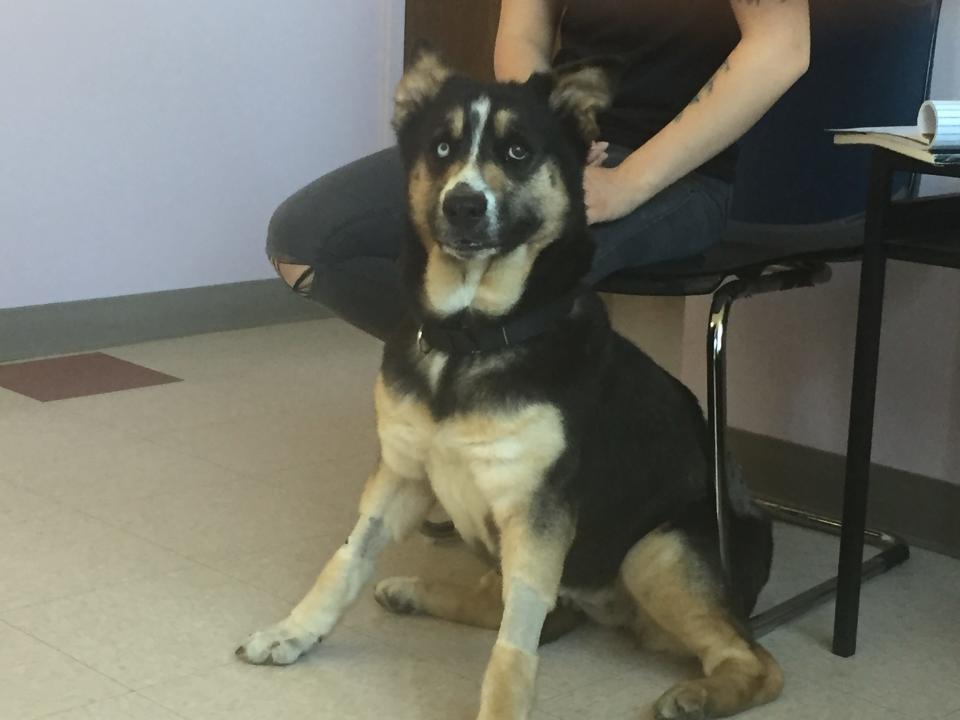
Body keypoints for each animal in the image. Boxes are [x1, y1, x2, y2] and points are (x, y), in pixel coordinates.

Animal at [236, 50, 784, 720]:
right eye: (442, 148)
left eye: (519, 151)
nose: (463, 206)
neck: (469, 337)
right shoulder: (401, 473)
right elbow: (345, 559)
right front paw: (295, 631)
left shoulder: (536, 511)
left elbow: (514, 642)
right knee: (523, 609)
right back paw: (416, 591)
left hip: (660, 551)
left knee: (758, 662)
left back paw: (699, 696)